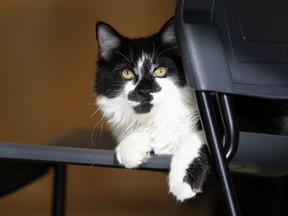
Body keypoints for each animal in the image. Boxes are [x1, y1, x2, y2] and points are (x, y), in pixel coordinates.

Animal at [94, 19, 209, 202]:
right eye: (127, 73)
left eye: (160, 71)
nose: (144, 90)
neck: (157, 119)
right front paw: (131, 147)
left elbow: (193, 139)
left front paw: (182, 181)